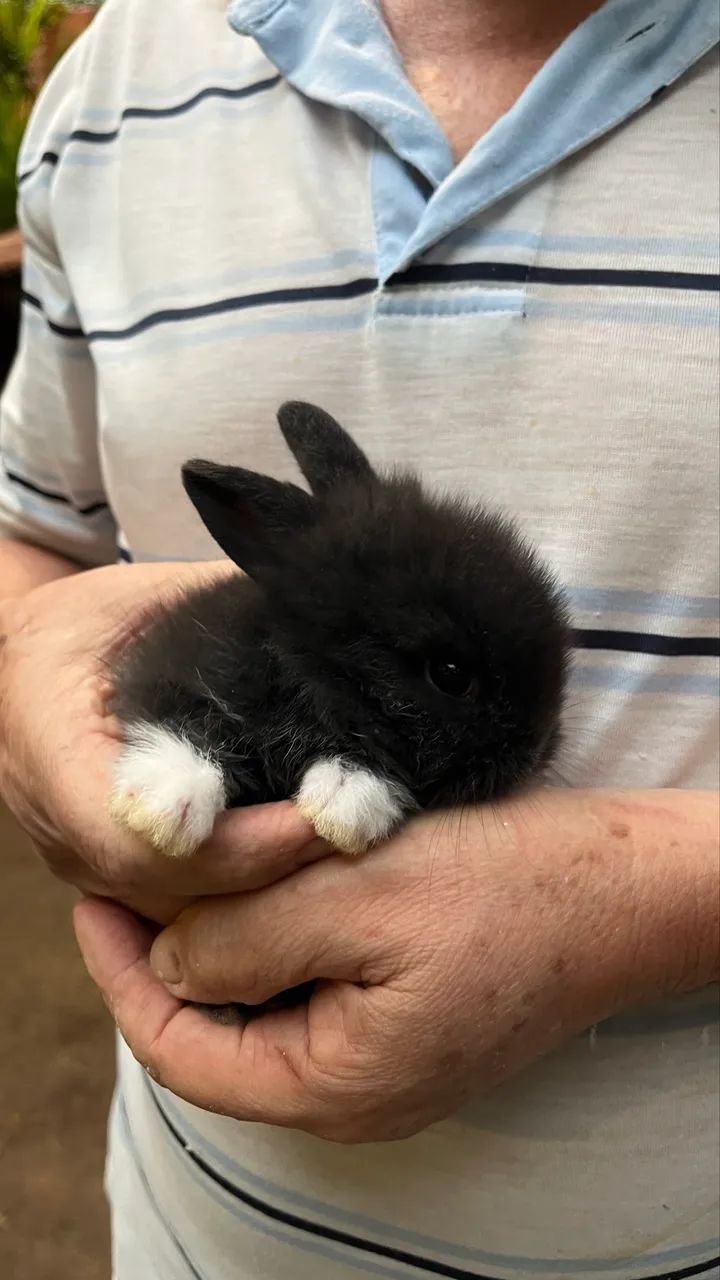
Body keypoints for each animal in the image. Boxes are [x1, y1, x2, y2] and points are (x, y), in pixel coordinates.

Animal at [109, 401, 571, 867]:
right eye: (450, 673)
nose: (534, 755)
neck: (306, 671)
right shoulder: (172, 671)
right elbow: (187, 721)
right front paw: (164, 809)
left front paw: (346, 800)